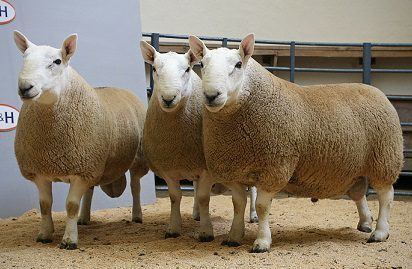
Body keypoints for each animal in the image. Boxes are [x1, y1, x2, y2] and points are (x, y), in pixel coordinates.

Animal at [13, 30, 149, 249]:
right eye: (24, 58)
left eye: (57, 61)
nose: (25, 87)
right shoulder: (42, 171)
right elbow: (45, 205)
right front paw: (45, 234)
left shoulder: (81, 171)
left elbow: (70, 205)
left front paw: (69, 239)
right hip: (93, 163)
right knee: (91, 190)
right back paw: (84, 218)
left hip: (136, 158)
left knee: (135, 186)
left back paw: (136, 216)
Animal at [189, 33, 402, 251]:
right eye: (202, 64)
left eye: (239, 64)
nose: (211, 95)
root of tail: (377, 92)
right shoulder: (235, 170)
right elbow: (238, 204)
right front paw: (234, 236)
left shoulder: (275, 167)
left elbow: (261, 206)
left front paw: (262, 241)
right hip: (356, 168)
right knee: (360, 194)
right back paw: (365, 223)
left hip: (384, 158)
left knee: (386, 195)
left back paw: (380, 232)